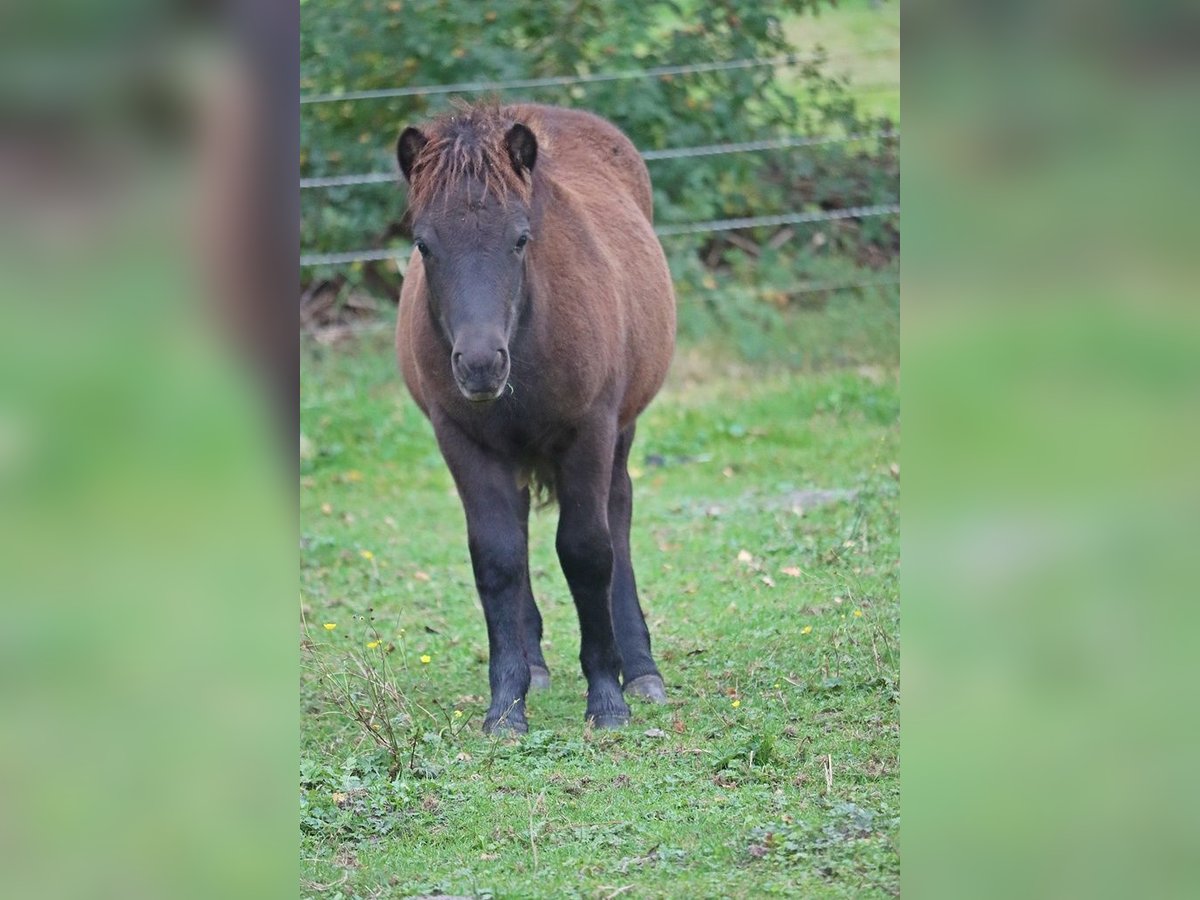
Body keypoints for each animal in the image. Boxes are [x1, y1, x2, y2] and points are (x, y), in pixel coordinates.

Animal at [393, 103, 676, 734]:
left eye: (521, 239)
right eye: (423, 245)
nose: (479, 365)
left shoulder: (589, 432)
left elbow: (587, 551)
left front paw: (607, 698)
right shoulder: (463, 442)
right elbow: (497, 559)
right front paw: (505, 706)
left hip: (621, 430)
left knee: (618, 515)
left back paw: (641, 669)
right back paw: (535, 663)